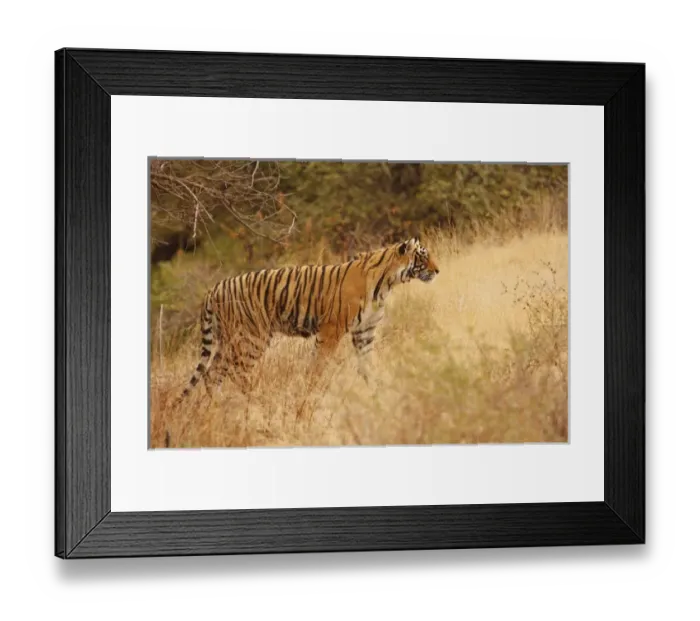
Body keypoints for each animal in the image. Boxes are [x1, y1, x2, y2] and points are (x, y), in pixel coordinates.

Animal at [173, 236, 440, 406]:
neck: (387, 284)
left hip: (228, 340)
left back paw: (218, 405)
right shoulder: (331, 330)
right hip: (251, 338)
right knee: (235, 372)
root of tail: (214, 288)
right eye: (423, 256)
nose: (437, 271)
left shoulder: (364, 332)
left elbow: (368, 366)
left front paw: (376, 392)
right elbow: (318, 366)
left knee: (211, 373)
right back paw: (256, 399)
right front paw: (310, 394)